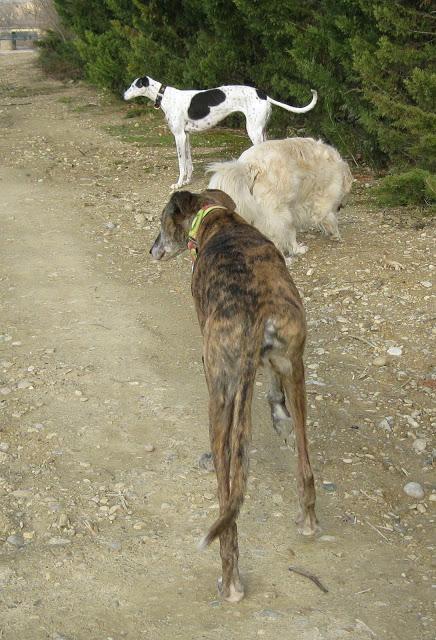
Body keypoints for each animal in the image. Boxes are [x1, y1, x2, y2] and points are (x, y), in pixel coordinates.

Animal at [206, 138, 352, 255]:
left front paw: (296, 249)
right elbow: (330, 218)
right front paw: (336, 234)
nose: (342, 206)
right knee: (274, 238)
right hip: (276, 215)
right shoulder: (324, 201)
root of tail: (249, 166)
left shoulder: (292, 209)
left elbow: (292, 233)